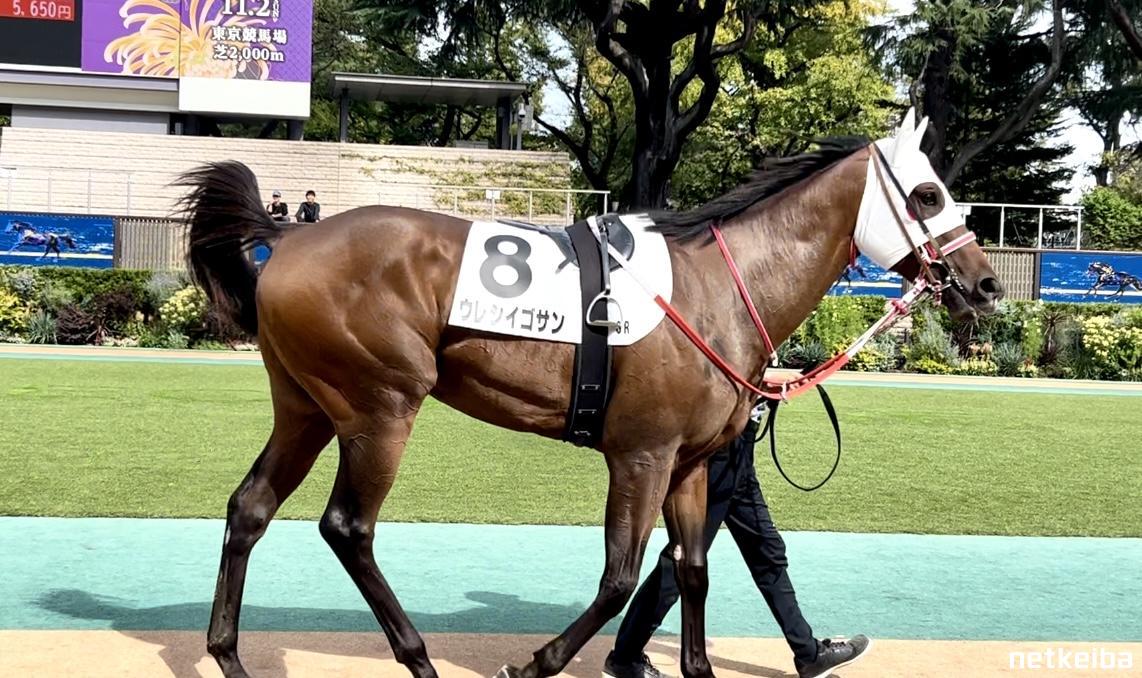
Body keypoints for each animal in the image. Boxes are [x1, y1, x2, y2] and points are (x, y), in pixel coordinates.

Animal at [175, 109, 1003, 678]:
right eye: (928, 193)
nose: (987, 284)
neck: (716, 288)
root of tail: (289, 238)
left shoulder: (691, 464)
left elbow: (691, 568)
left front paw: (695, 664)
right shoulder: (641, 455)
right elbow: (621, 578)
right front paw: (533, 662)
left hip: (307, 406)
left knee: (250, 508)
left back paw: (230, 653)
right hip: (380, 408)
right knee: (348, 527)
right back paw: (418, 656)